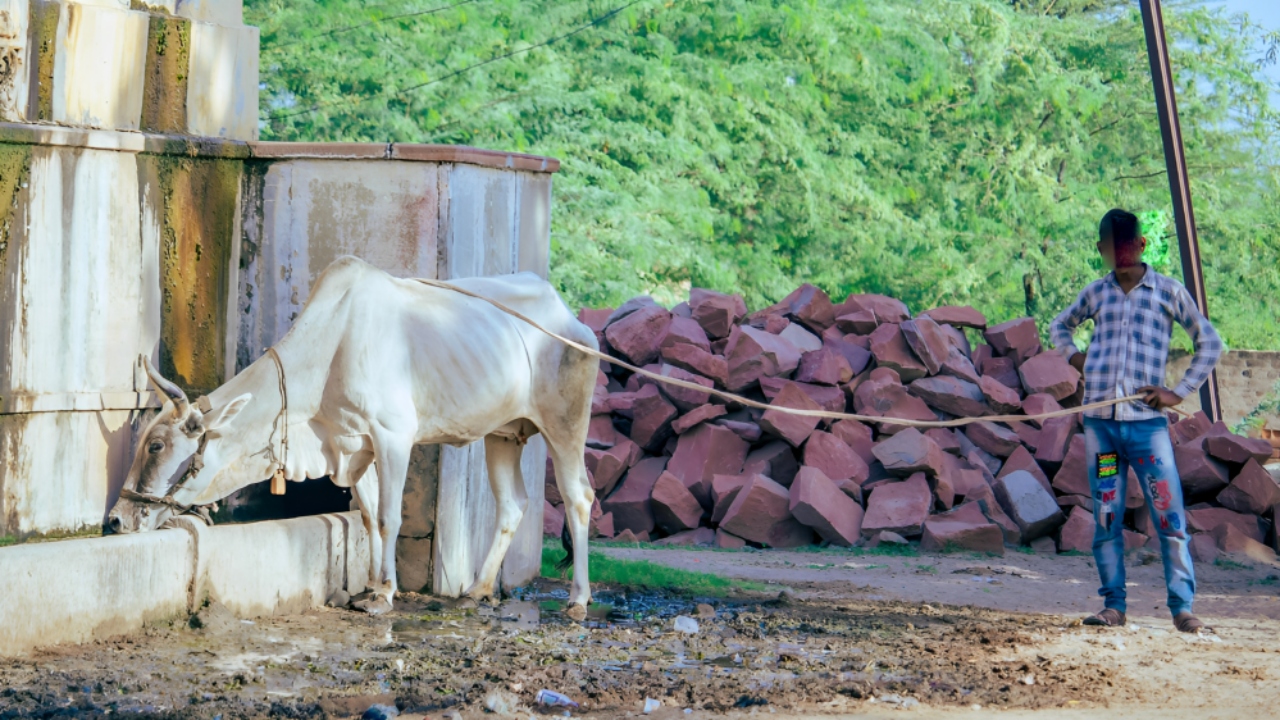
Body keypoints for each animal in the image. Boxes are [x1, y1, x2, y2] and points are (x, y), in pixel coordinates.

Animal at [106, 254, 599, 614]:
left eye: (157, 445)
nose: (116, 520)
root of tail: (571, 319)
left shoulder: (393, 436)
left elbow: (389, 516)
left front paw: (384, 594)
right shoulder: (353, 447)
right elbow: (366, 515)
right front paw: (371, 585)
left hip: (565, 423)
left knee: (578, 497)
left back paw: (577, 600)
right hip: (503, 435)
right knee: (512, 504)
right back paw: (478, 589)